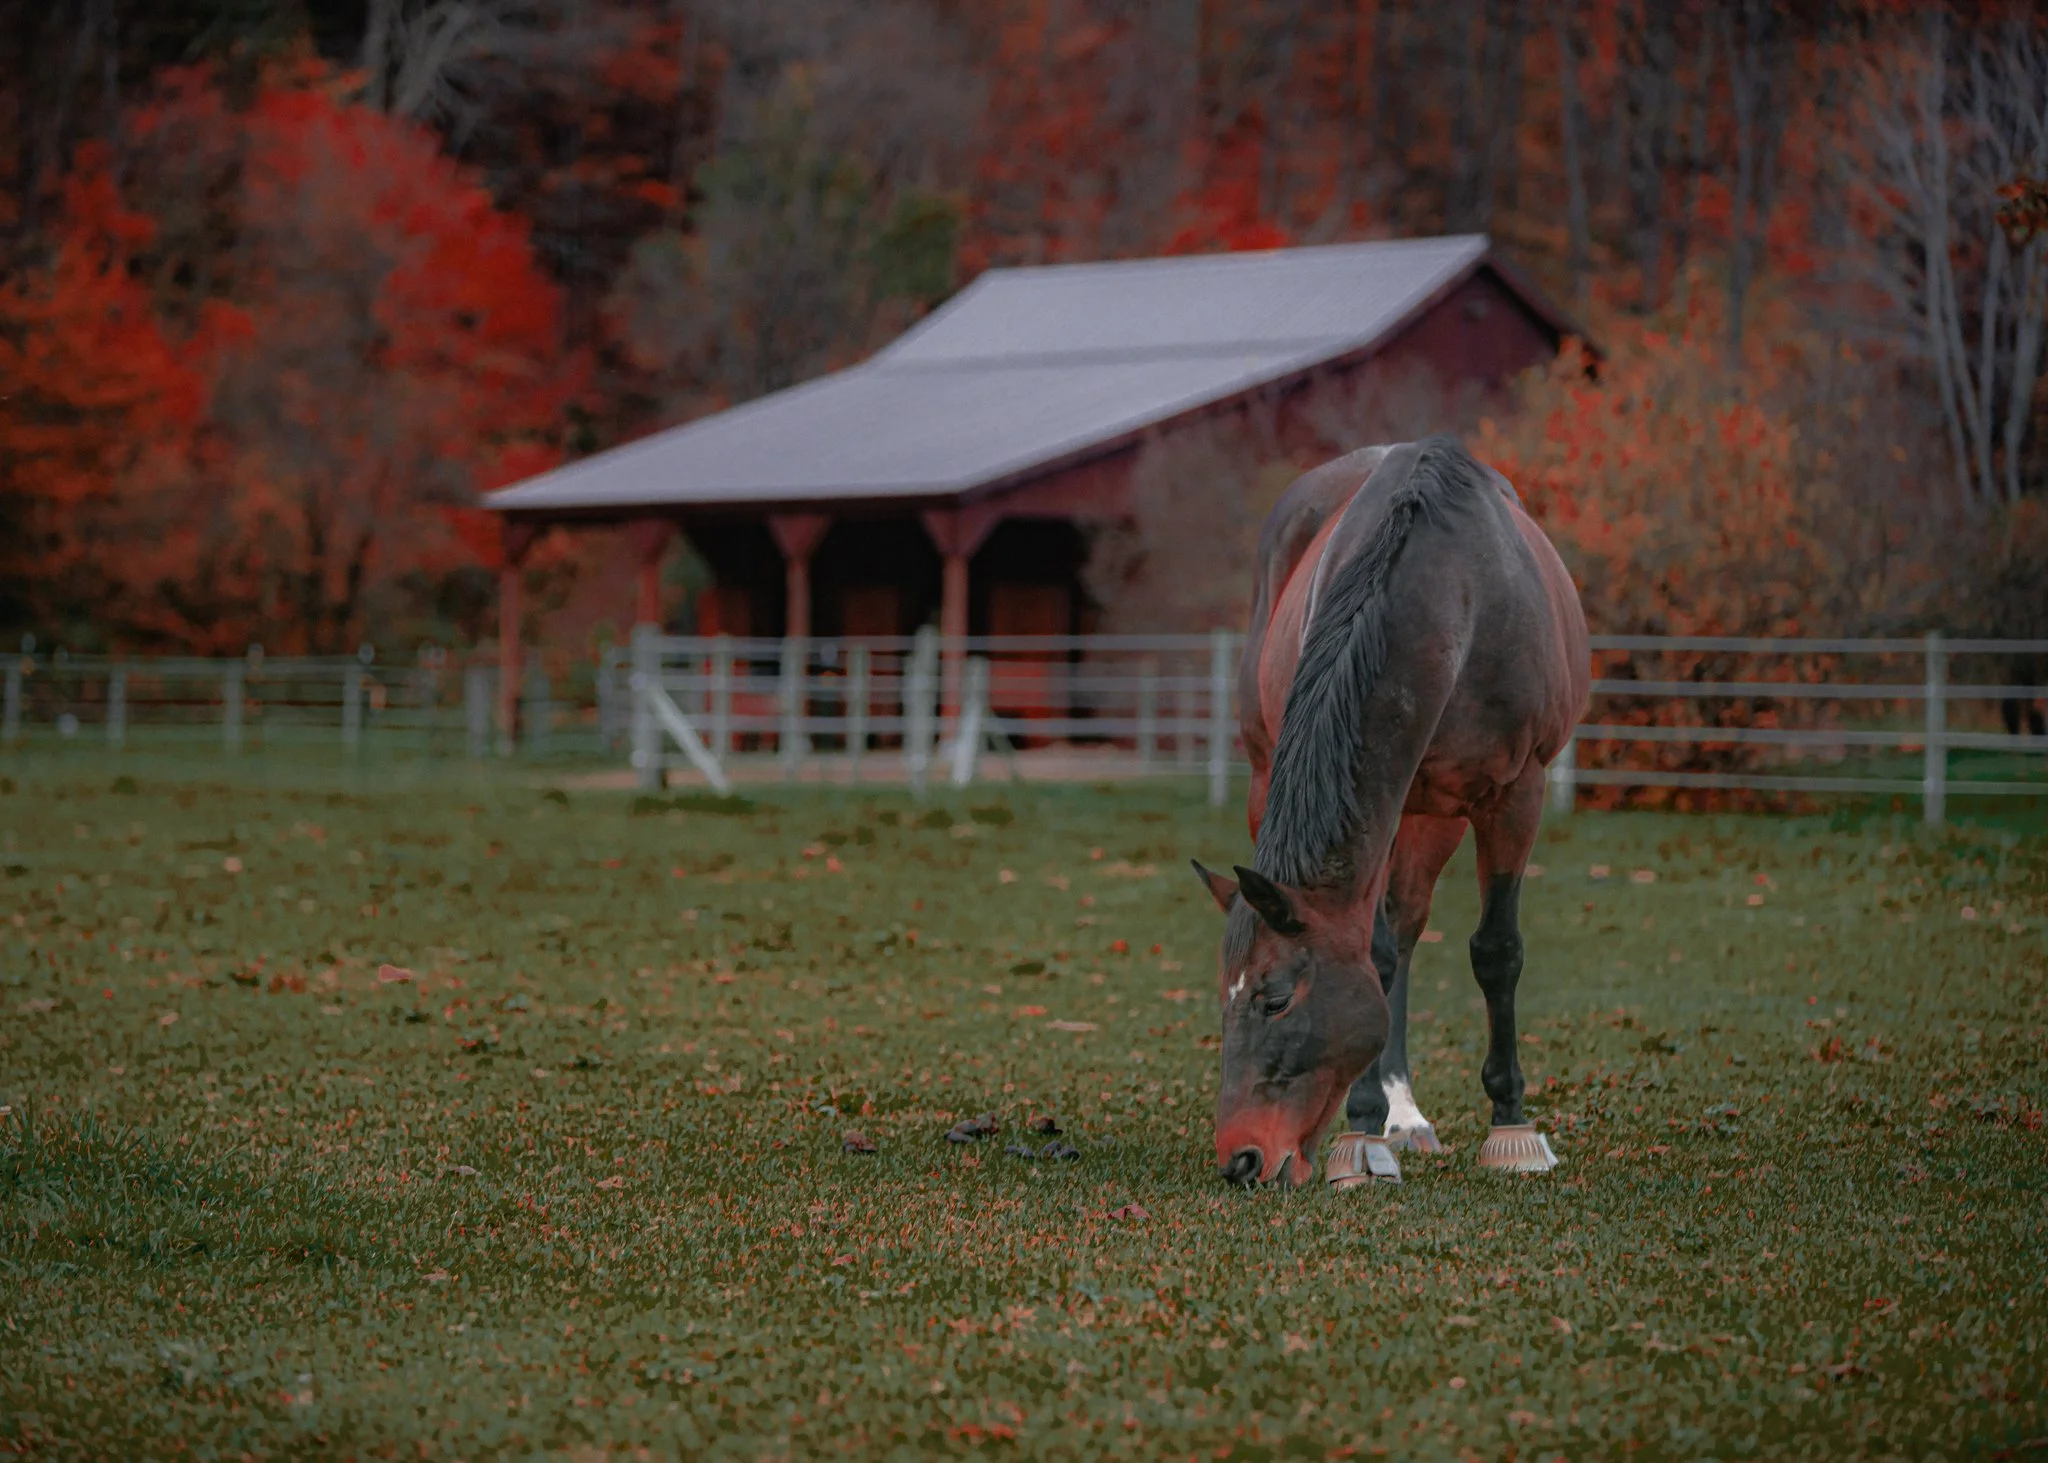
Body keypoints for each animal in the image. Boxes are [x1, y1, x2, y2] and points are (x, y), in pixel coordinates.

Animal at [1191, 437, 1589, 1188]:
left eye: (1276, 997)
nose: (1242, 1159)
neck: (1455, 590)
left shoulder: (1516, 791)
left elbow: (1497, 950)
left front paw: (1512, 1127)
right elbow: (1372, 955)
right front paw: (1359, 1133)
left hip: (1438, 813)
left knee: (1406, 929)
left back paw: (1405, 1116)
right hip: (1281, 778)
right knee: (1391, 940)